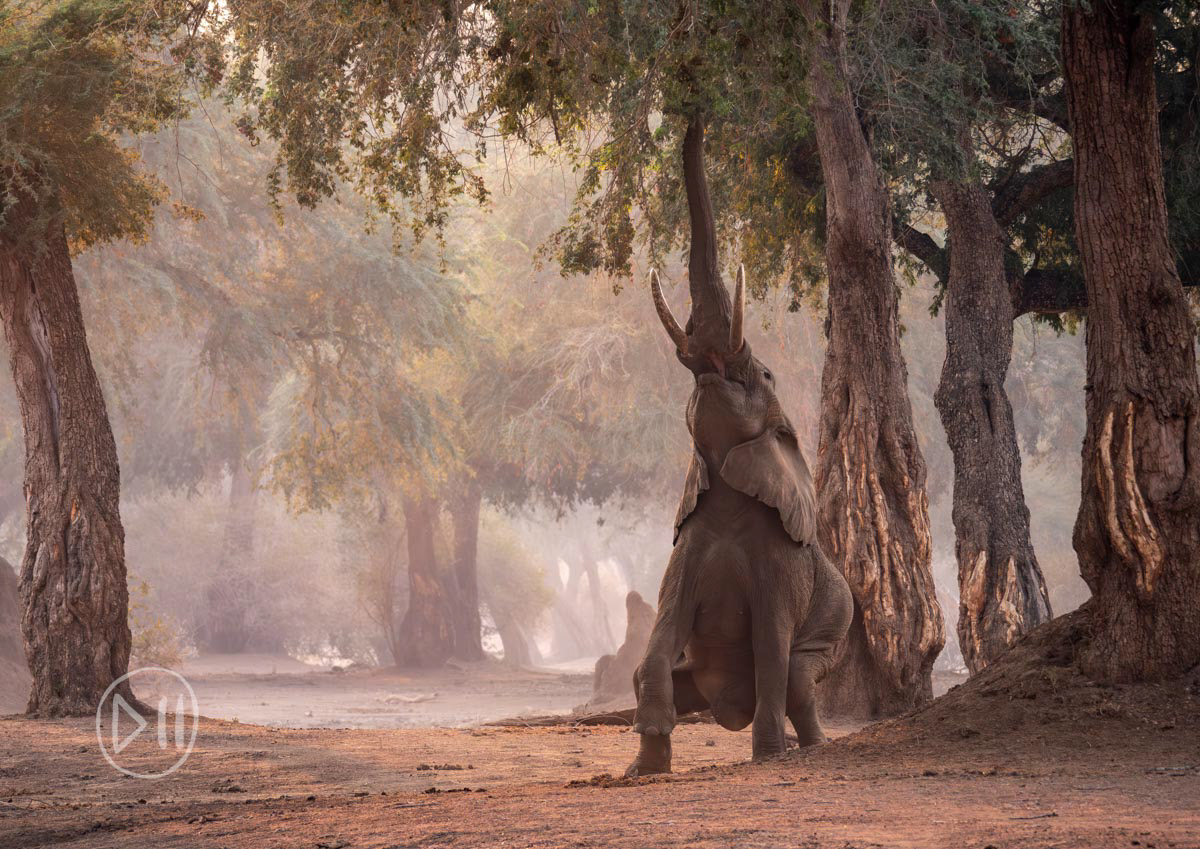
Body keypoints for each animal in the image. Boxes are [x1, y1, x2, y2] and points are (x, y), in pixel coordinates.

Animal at [626, 267, 853, 777]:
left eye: (765, 374)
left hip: (833, 629)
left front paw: (768, 757)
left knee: (797, 682)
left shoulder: (781, 564)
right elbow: (661, 637)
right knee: (643, 675)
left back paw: (811, 748)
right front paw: (644, 767)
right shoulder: (686, 549)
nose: (708, 366)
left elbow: (772, 645)